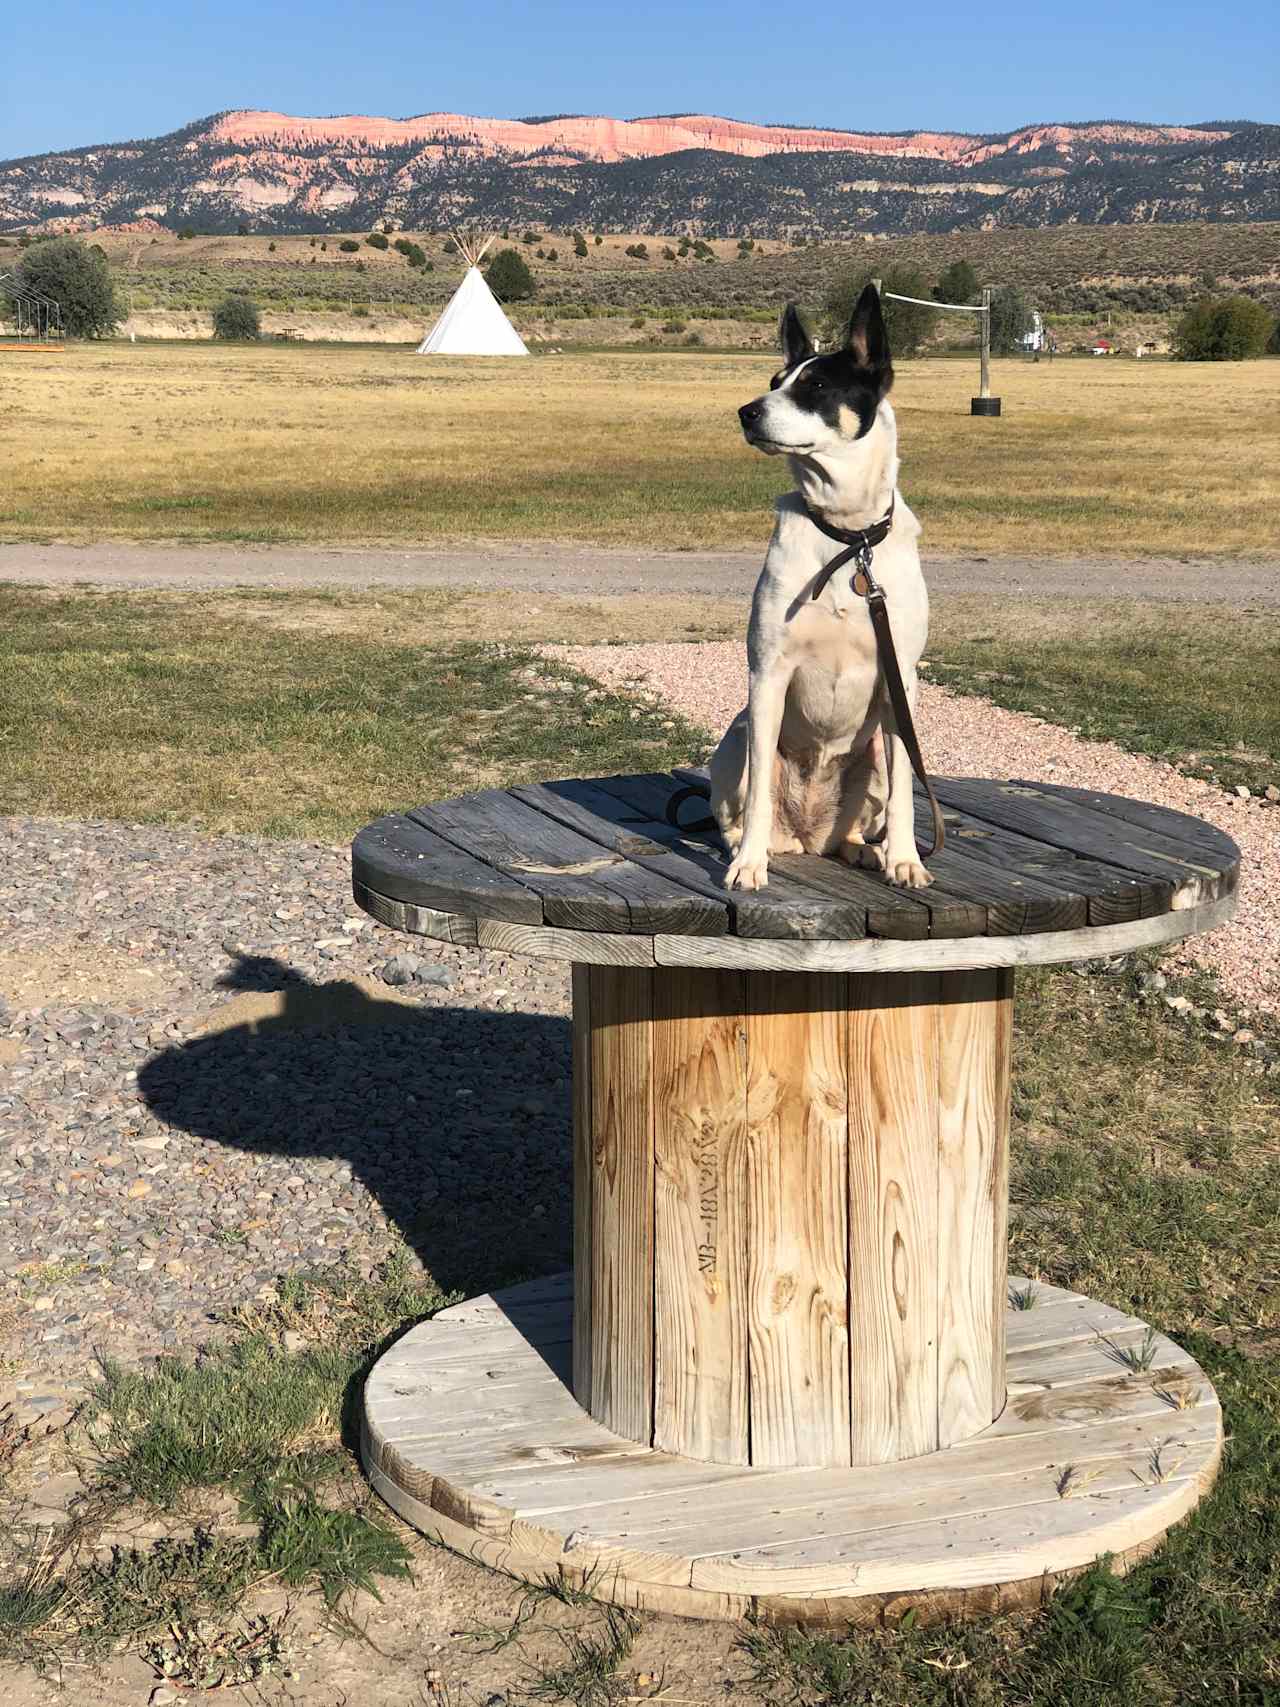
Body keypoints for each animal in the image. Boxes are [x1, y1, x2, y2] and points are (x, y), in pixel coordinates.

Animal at [706, 279, 935, 894]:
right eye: (773, 382)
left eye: (816, 386)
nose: (745, 412)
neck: (848, 537)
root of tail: (808, 837)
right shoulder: (768, 673)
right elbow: (759, 795)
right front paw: (748, 866)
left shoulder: (899, 682)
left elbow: (906, 794)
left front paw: (905, 859)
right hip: (735, 738)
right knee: (741, 808)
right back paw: (751, 848)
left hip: (872, 755)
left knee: (857, 823)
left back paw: (864, 851)